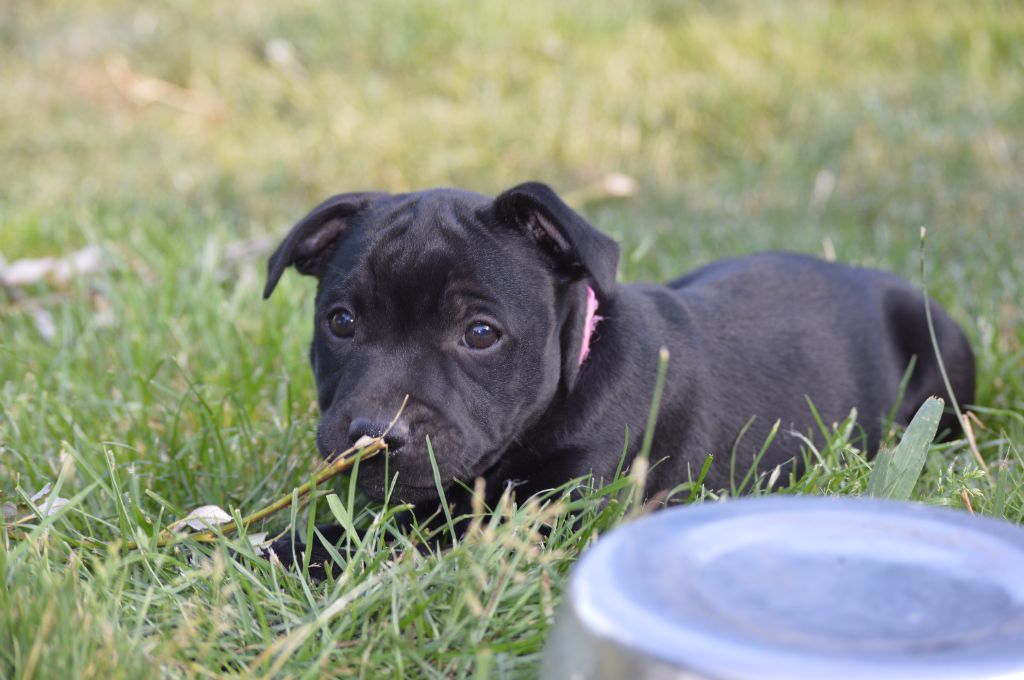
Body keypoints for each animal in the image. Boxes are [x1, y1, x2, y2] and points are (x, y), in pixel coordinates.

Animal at [262, 181, 975, 562]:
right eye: (341, 322)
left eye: (480, 334)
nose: (375, 433)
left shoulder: (546, 513)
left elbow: (383, 538)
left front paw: (273, 550)